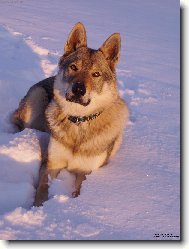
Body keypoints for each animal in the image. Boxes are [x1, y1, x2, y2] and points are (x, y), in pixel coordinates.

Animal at [11, 22, 129, 206]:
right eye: (74, 67)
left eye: (96, 74)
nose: (79, 89)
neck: (79, 121)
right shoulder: (52, 163)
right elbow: (42, 188)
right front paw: (38, 208)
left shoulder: (85, 172)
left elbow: (77, 194)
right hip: (37, 97)